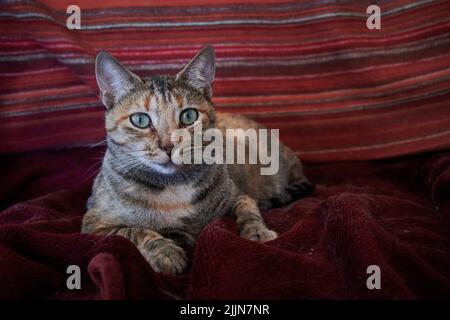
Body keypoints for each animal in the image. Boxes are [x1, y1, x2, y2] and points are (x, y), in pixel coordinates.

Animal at [81, 47, 312, 276]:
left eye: (189, 116)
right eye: (140, 120)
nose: (168, 146)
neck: (172, 186)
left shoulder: (238, 196)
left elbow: (248, 212)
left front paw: (258, 231)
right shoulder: (94, 223)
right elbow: (132, 231)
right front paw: (165, 251)